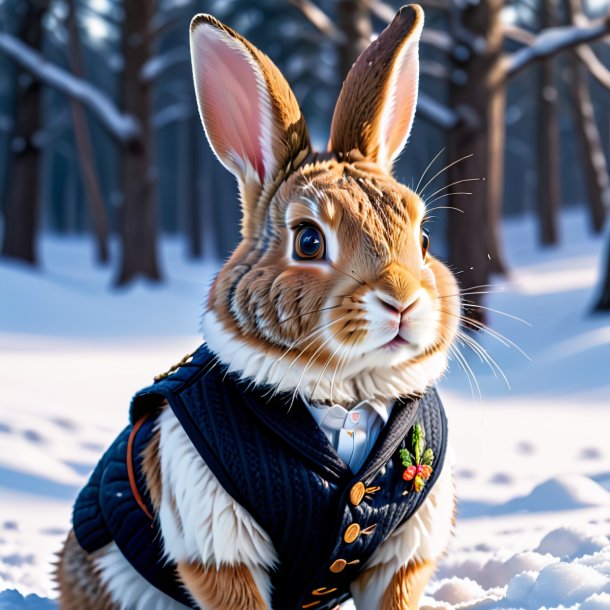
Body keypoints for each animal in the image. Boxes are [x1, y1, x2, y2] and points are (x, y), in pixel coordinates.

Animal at [57, 4, 458, 608]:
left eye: (425, 239)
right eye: (309, 241)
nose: (404, 301)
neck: (346, 396)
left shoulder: (404, 549)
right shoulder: (216, 540)